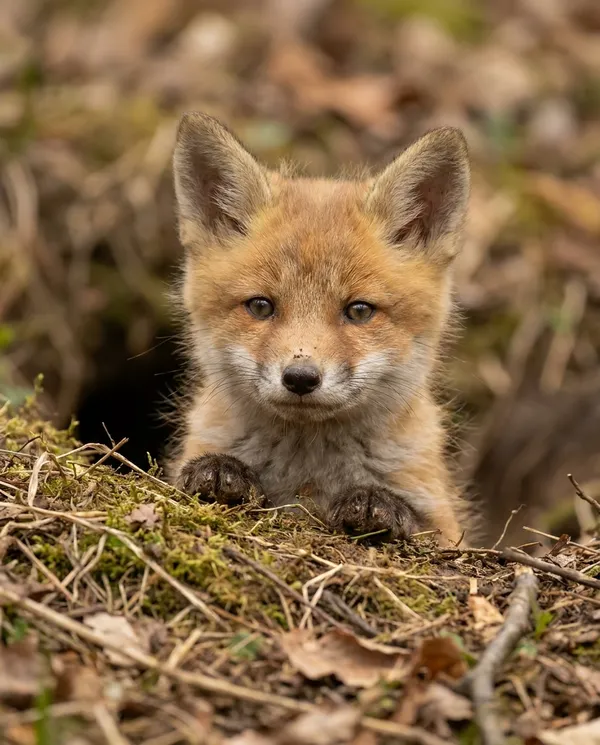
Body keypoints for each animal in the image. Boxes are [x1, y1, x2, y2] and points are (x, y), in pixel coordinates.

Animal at [168, 112, 471, 547]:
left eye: (359, 311)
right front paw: (223, 473)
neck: (307, 478)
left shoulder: (445, 524)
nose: (300, 378)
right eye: (260, 306)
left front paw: (376, 505)